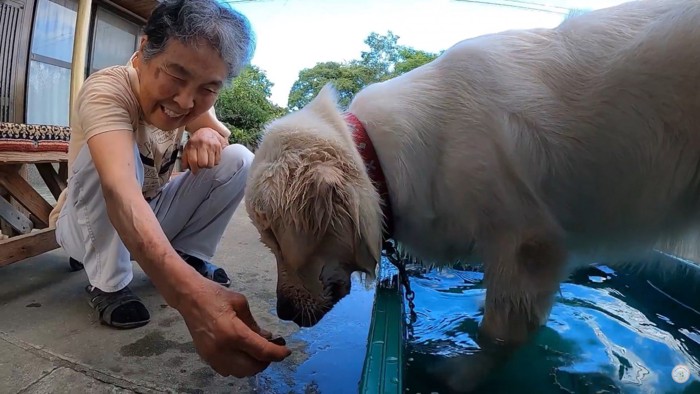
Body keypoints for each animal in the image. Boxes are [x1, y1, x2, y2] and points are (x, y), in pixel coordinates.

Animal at [245, 1, 700, 390]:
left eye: (278, 238)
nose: (281, 311)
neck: (379, 157)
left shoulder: (525, 246)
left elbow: (498, 334)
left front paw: (459, 374)